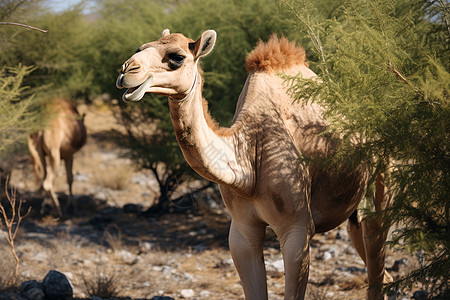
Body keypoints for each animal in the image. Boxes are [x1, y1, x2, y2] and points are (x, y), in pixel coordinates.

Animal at [116, 28, 394, 300]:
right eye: (141, 48)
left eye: (177, 57)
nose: (126, 70)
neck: (249, 163)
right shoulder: (242, 232)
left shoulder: (297, 229)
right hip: (354, 211)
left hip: (383, 187)